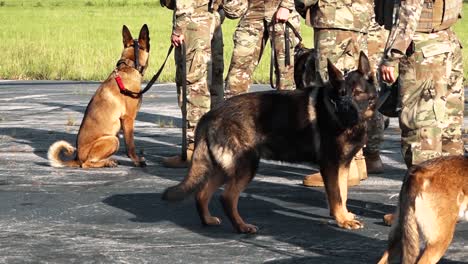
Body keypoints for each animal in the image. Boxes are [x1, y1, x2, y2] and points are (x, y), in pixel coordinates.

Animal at [46, 25, 149, 169]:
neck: (129, 66)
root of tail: (77, 158)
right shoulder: (128, 119)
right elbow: (131, 146)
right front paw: (137, 161)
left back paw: (109, 161)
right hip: (112, 139)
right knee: (86, 164)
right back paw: (107, 162)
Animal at [163, 52, 378, 233]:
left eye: (357, 93)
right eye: (341, 94)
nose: (345, 112)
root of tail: (210, 116)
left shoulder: (341, 165)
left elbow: (343, 192)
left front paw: (344, 216)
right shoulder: (331, 165)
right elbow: (336, 195)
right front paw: (342, 220)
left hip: (224, 169)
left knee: (202, 194)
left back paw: (208, 220)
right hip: (246, 166)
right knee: (227, 198)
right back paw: (242, 227)